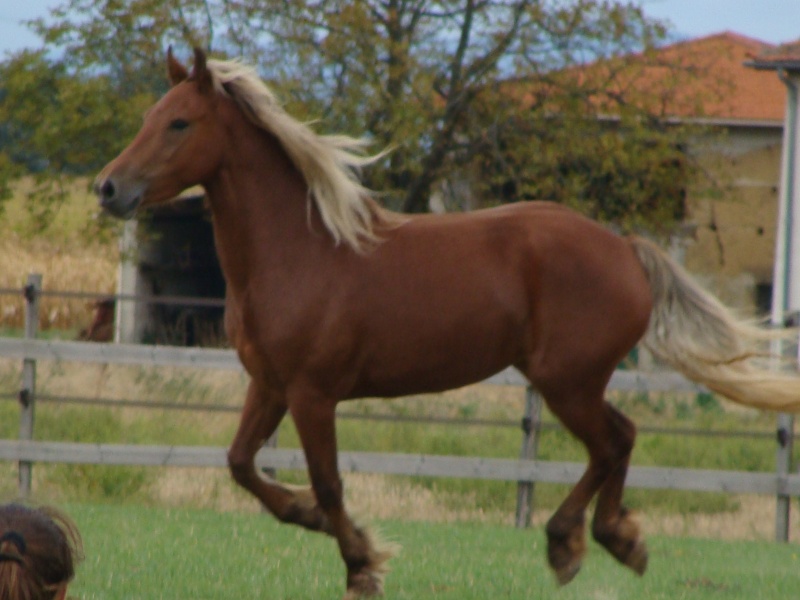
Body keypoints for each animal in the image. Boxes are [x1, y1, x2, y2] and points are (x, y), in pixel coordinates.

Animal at [95, 49, 800, 596]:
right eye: (148, 118)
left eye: (179, 123)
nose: (108, 188)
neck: (300, 251)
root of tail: (625, 247)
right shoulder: (269, 385)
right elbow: (242, 463)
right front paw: (310, 518)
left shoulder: (313, 393)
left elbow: (329, 482)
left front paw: (363, 565)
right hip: (571, 381)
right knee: (619, 440)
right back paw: (605, 540)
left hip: (566, 381)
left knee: (613, 442)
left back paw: (579, 544)